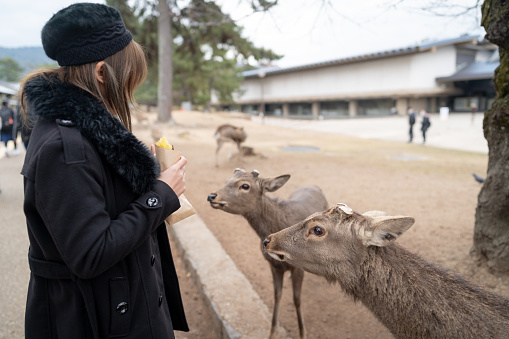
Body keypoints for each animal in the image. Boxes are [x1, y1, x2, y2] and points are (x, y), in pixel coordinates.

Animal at [207, 170, 330, 339]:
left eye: (245, 186)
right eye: (227, 180)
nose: (212, 196)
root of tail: (315, 186)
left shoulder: (298, 268)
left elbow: (297, 299)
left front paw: (303, 333)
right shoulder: (273, 266)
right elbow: (277, 296)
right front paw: (272, 333)